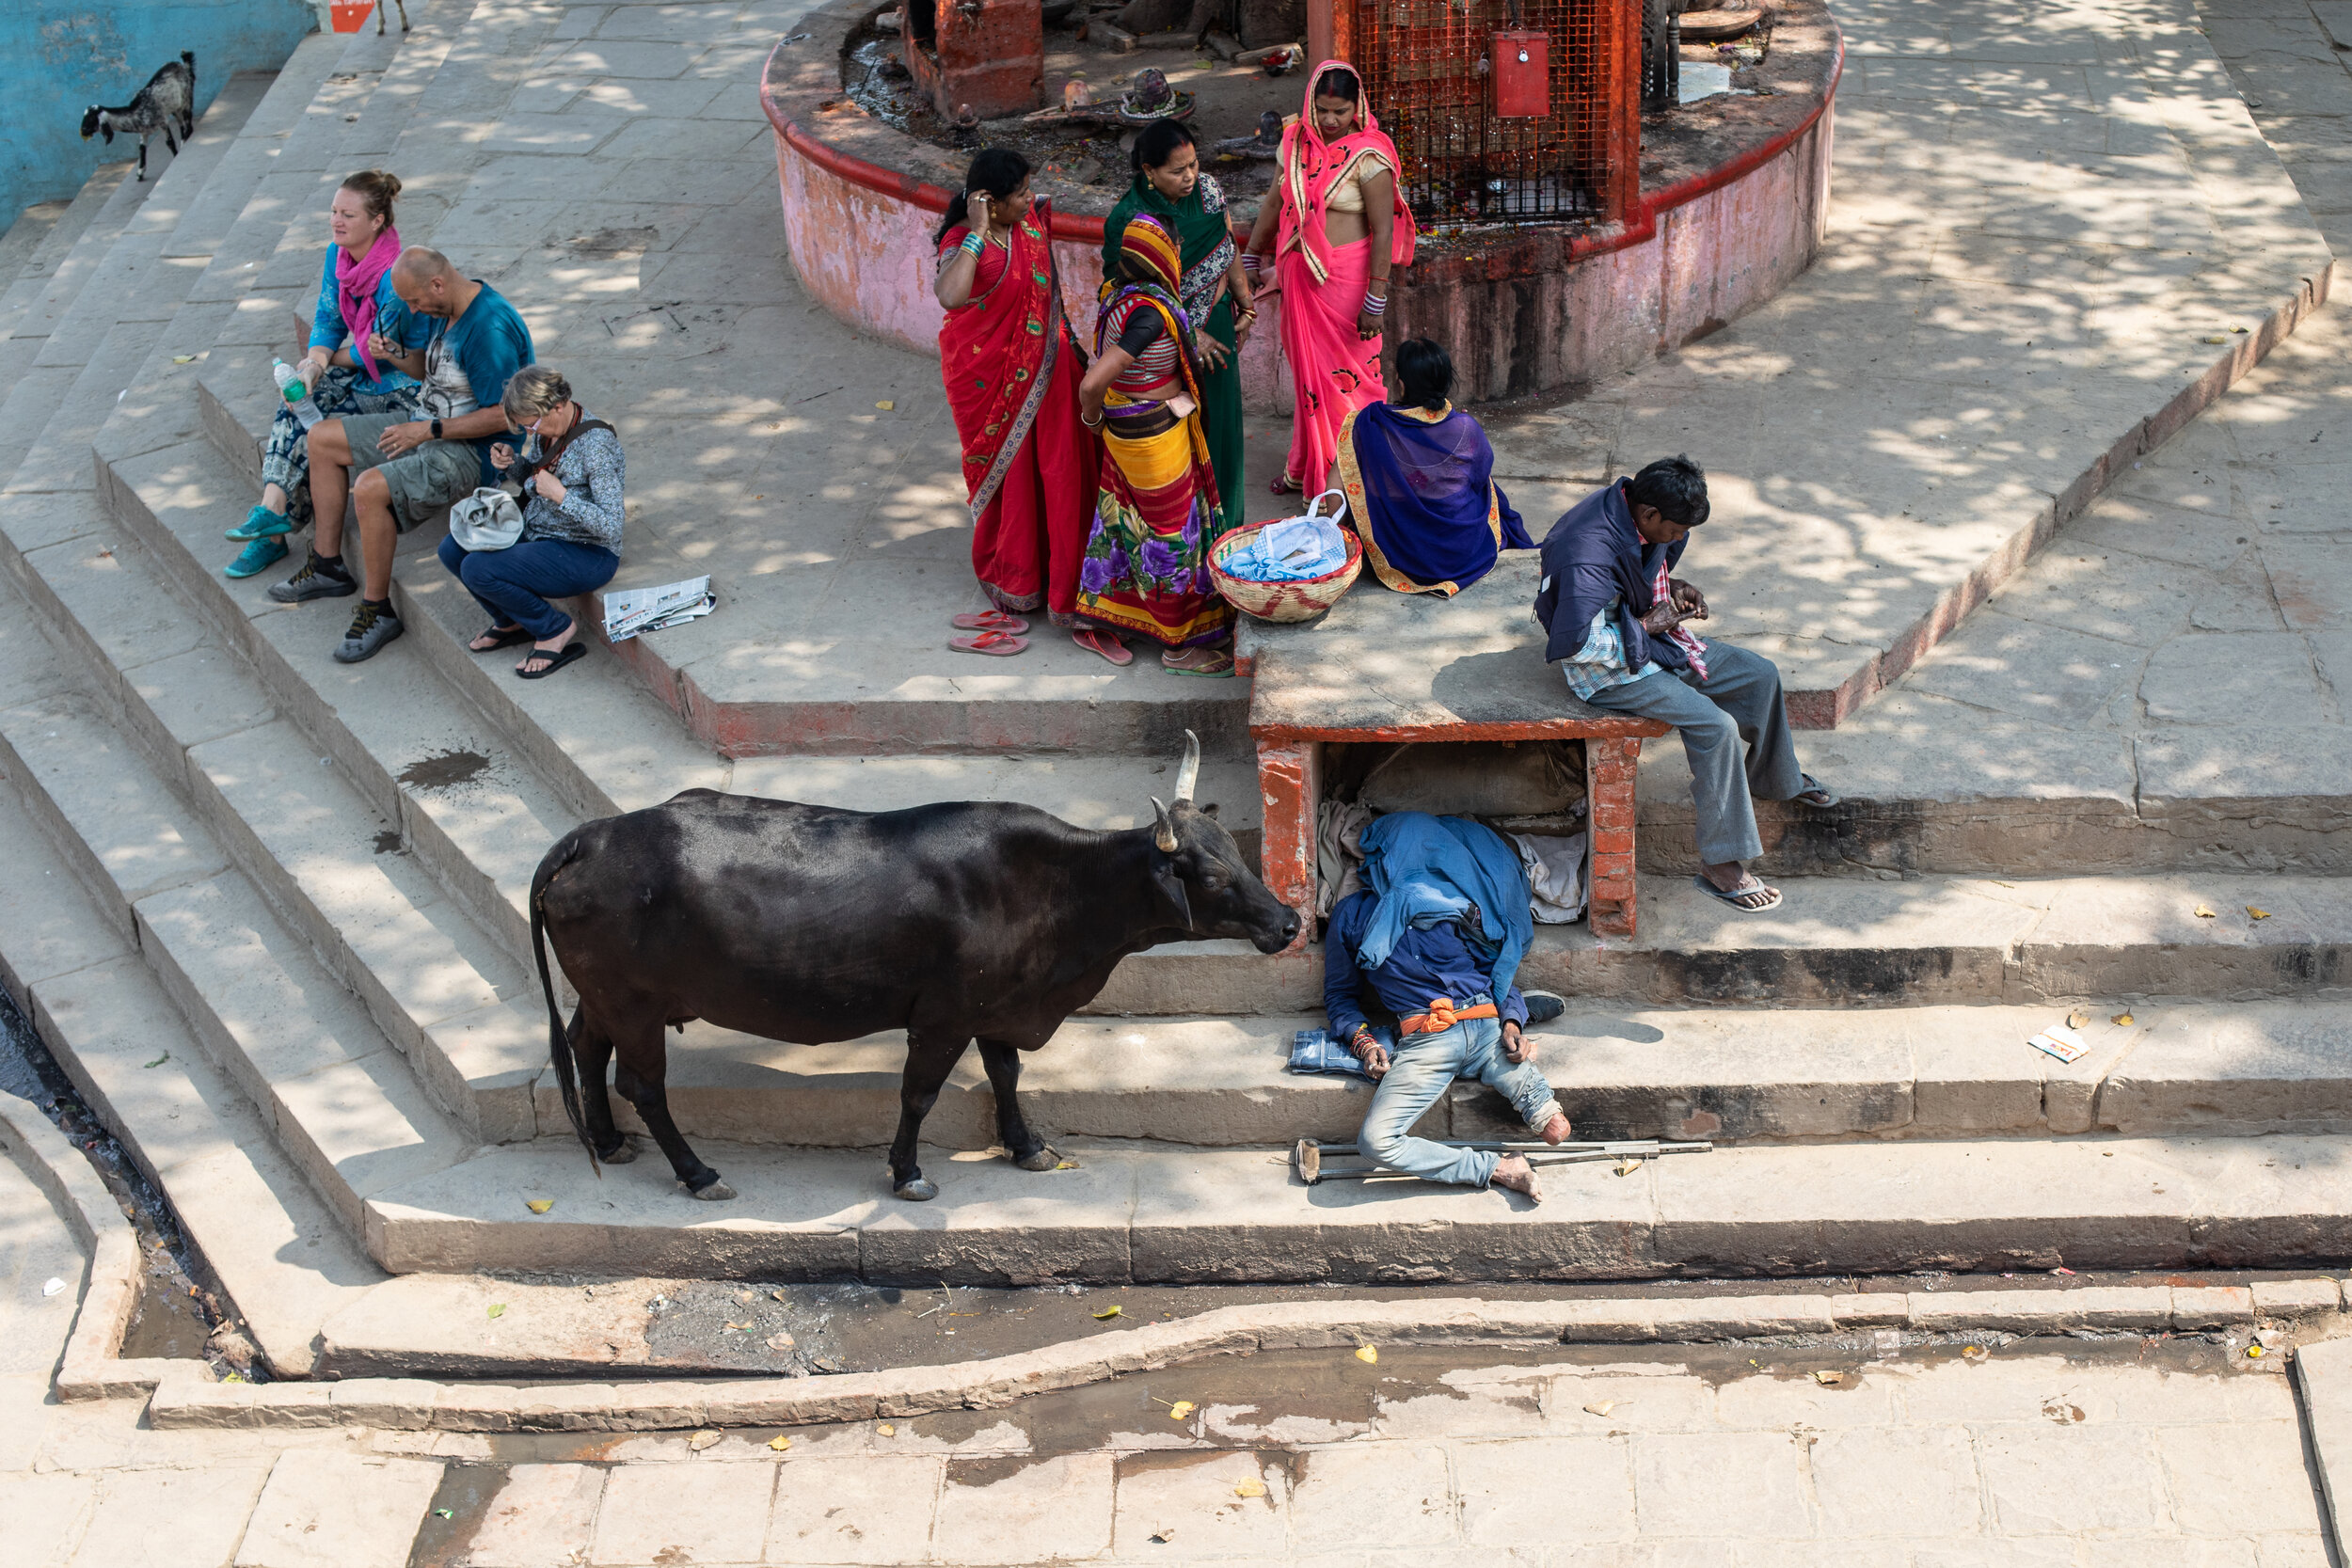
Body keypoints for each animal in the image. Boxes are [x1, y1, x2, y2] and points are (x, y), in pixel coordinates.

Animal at [532, 737, 1298, 1203]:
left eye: (1236, 851)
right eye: (1209, 874)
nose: (1289, 922)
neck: (1060, 893)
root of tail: (592, 835)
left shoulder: (1000, 1008)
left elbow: (1006, 1074)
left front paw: (1027, 1146)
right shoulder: (943, 1017)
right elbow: (919, 1095)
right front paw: (908, 1173)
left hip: (604, 998)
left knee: (585, 1048)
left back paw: (608, 1140)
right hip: (633, 1004)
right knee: (641, 1084)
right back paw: (698, 1173)